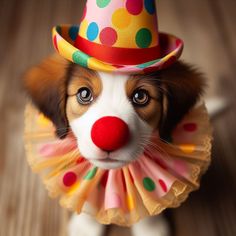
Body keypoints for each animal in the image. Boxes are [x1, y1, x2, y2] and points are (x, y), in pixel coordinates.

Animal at [23, 53, 205, 236]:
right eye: (84, 93)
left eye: (140, 96)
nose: (108, 136)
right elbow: (86, 189)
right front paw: (86, 227)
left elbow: (150, 199)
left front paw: (150, 228)